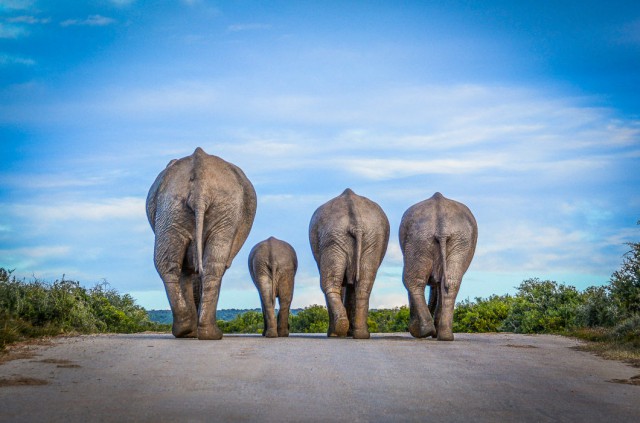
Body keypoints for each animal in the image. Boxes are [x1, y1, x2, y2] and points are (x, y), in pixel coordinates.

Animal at [146, 147, 256, 340]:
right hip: (200, 206)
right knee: (207, 264)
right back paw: (202, 333)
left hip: (174, 206)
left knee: (172, 263)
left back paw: (190, 331)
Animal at [310, 190, 390, 340]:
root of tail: (356, 223)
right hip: (368, 238)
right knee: (363, 284)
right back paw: (360, 334)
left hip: (335, 237)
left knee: (330, 284)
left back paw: (338, 332)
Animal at [398, 194, 478, 342]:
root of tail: (442, 226)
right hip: (455, 240)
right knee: (450, 282)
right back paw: (443, 336)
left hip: (422, 238)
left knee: (412, 280)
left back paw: (429, 332)